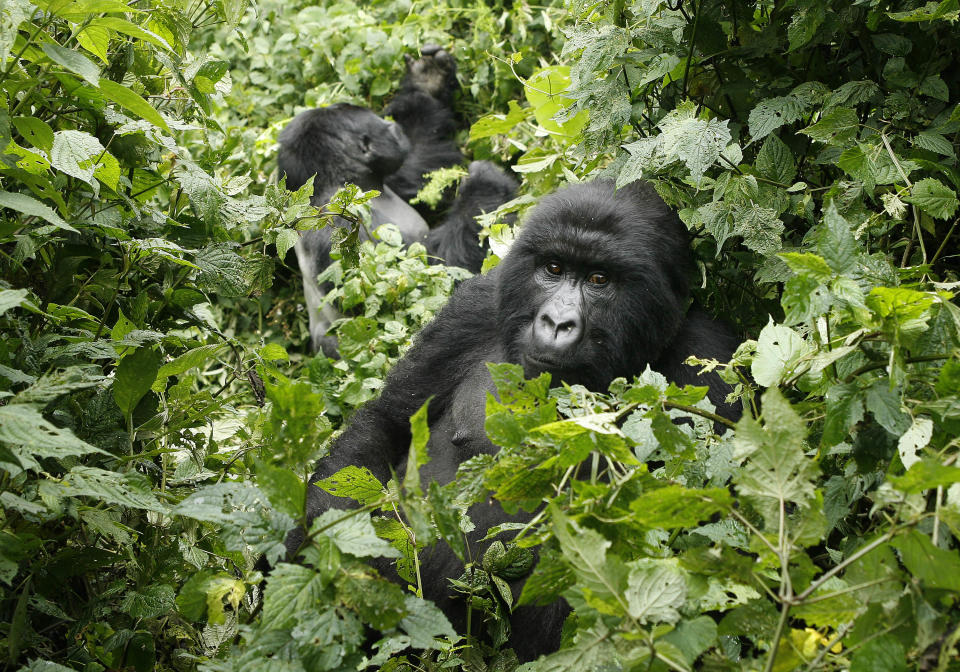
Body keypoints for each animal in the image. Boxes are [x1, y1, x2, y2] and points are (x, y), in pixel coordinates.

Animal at [294, 178, 744, 656]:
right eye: (552, 268)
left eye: (599, 279)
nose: (556, 322)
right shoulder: (473, 307)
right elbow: (386, 427)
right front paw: (322, 558)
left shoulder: (710, 361)